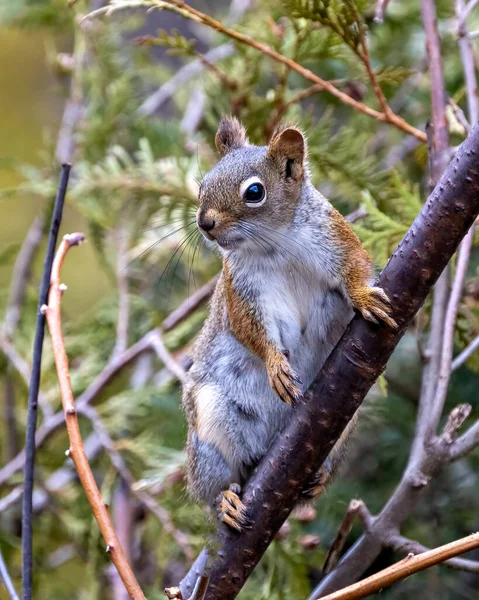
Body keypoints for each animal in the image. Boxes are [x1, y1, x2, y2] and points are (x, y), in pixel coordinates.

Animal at [182, 117, 396, 528]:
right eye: (203, 185)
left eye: (254, 192)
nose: (205, 223)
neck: (275, 243)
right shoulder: (241, 291)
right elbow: (249, 329)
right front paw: (275, 366)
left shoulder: (337, 239)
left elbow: (356, 269)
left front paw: (363, 297)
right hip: (211, 428)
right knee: (215, 483)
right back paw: (225, 500)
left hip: (343, 428)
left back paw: (316, 480)